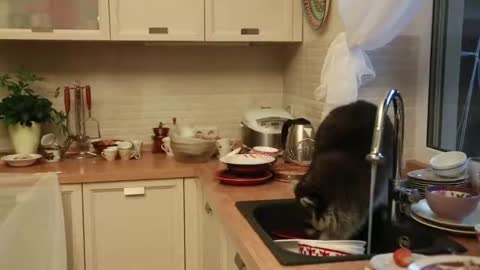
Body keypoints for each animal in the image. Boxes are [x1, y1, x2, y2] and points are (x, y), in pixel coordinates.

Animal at [294, 100, 392, 239]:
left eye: (309, 225)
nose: (305, 236)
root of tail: (360, 103)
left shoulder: (359, 199)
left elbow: (348, 225)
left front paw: (329, 237)